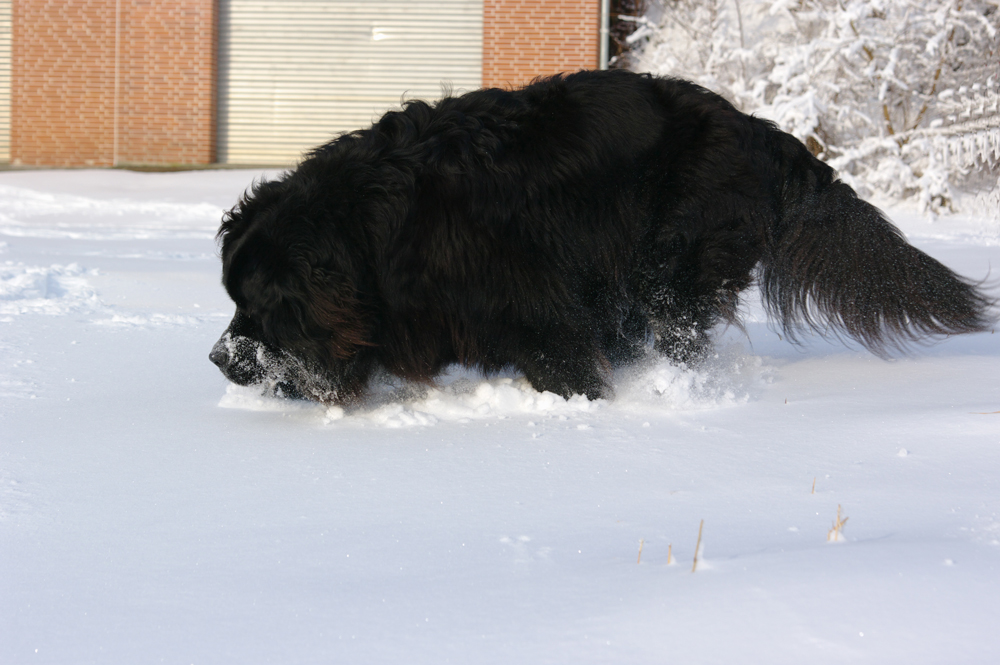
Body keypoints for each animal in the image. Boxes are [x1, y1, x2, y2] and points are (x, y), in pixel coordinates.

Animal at [211, 70, 992, 402]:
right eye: (233, 300)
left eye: (259, 303)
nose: (219, 358)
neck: (367, 232)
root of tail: (755, 128)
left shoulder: (534, 306)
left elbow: (562, 363)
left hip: (670, 264)